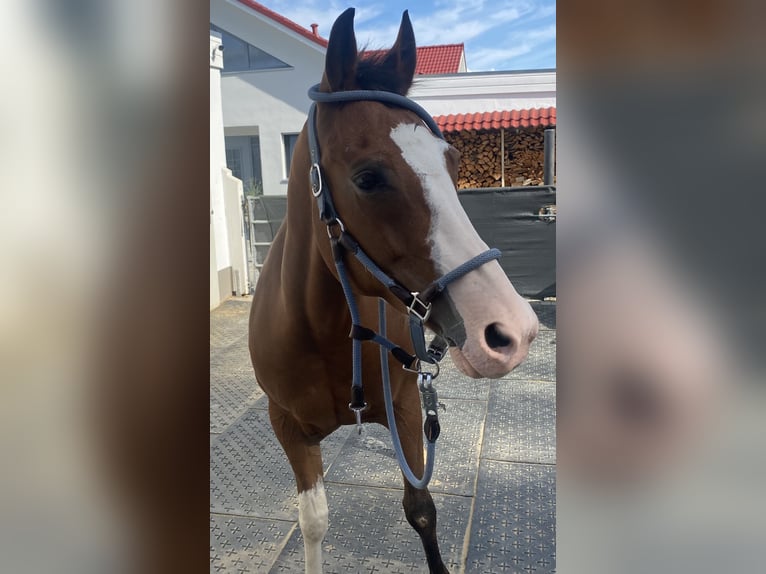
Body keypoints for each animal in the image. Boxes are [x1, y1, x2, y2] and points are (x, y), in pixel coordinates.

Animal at [249, 8, 539, 573]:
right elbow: (313, 521)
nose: (511, 330)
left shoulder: (405, 411)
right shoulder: (288, 428)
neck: (325, 332)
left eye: (453, 165)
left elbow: (422, 510)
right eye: (368, 177)